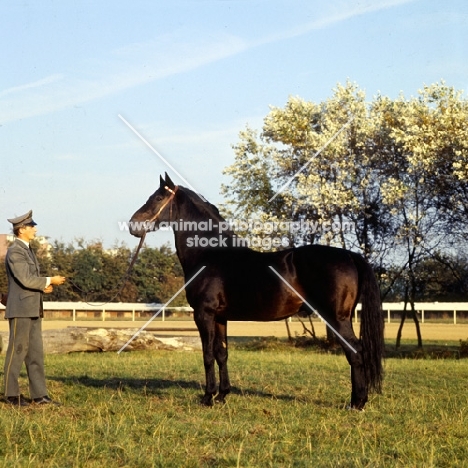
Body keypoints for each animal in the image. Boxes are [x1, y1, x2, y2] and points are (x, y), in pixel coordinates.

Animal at [129, 173, 384, 410]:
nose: (133, 225)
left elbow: (207, 355)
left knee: (355, 352)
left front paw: (208, 397)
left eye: (158, 197)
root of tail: (349, 255)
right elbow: (222, 354)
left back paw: (357, 403)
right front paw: (222, 395)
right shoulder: (220, 317)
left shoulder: (204, 314)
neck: (209, 254)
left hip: (337, 318)